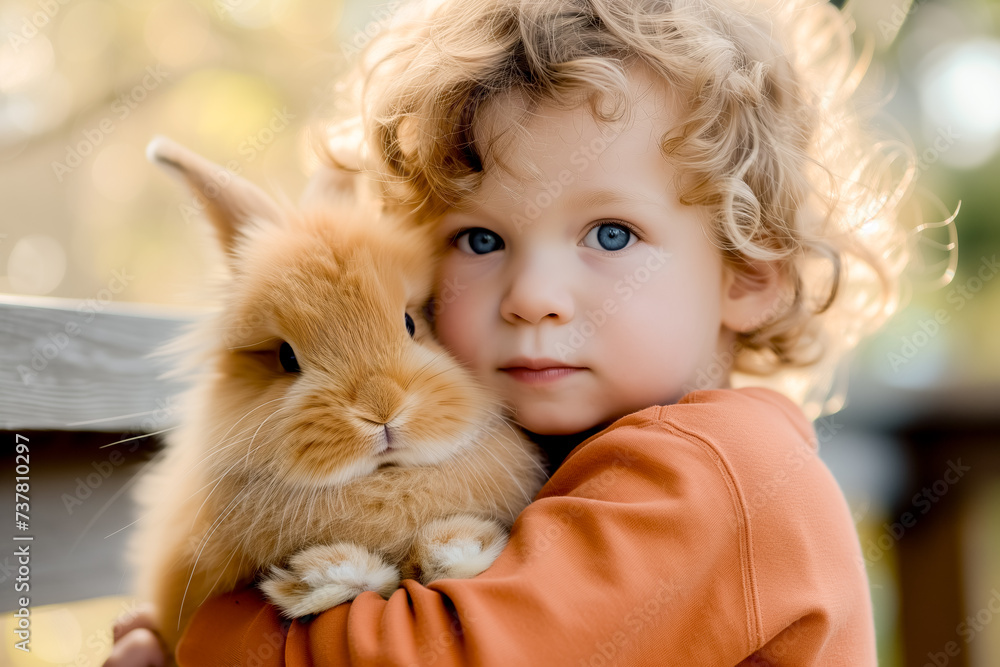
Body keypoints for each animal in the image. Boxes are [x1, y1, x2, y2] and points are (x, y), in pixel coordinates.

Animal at [133, 138, 548, 656]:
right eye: (286, 357)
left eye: (410, 323)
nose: (381, 410)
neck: (385, 481)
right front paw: (319, 575)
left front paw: (460, 545)